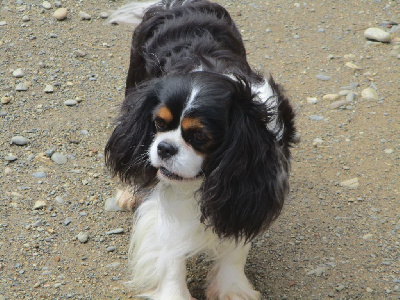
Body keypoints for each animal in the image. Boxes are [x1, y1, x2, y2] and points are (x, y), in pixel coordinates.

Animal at [106, 1, 296, 298]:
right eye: (158, 124)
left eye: (199, 136)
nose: (164, 147)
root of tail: (177, 4)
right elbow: (171, 249)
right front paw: (174, 293)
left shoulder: (243, 194)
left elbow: (234, 247)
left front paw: (231, 288)